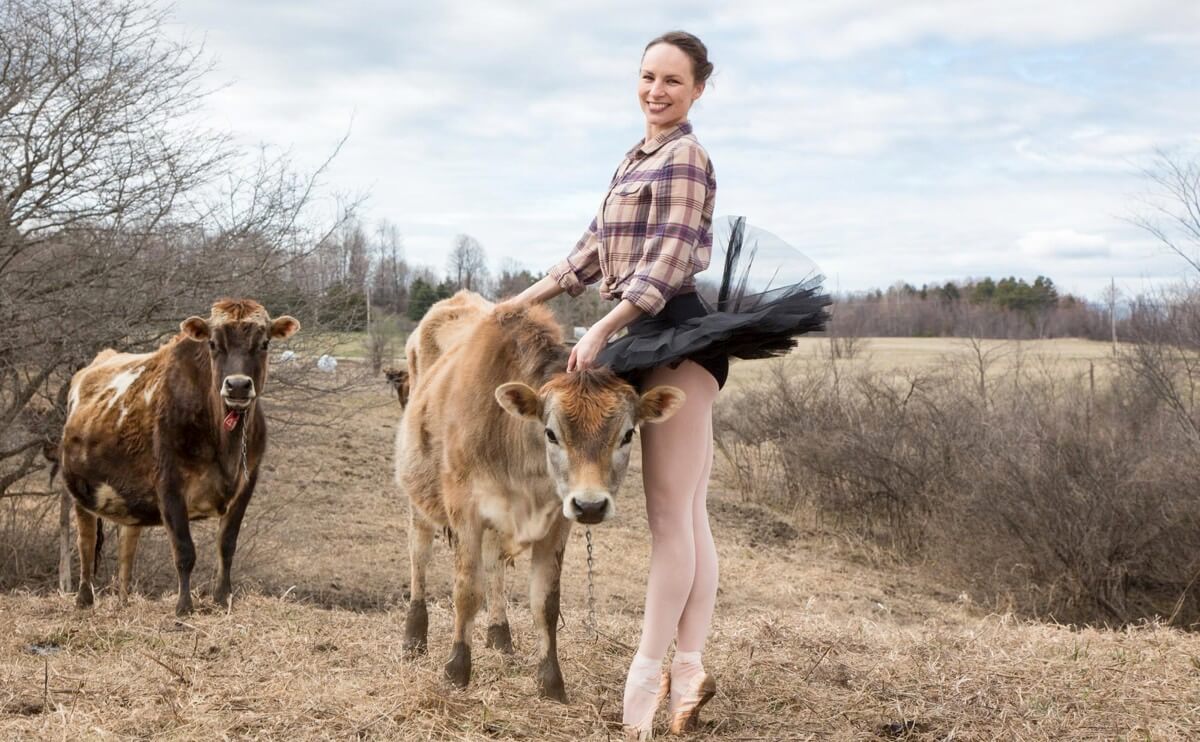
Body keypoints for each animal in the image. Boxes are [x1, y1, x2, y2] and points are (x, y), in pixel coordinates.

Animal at [59, 297, 298, 614]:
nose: (237, 385)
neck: (226, 444)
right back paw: (84, 599)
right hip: (80, 490)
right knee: (85, 542)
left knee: (126, 546)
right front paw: (184, 607)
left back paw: (124, 603)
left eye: (264, 343)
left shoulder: (247, 482)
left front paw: (222, 599)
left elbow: (227, 545)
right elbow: (185, 551)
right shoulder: (169, 484)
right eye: (213, 343)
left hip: (128, 499)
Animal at [398, 290, 686, 701]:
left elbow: (545, 603)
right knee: (419, 554)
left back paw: (500, 635)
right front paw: (456, 670)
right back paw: (414, 636)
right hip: (419, 490)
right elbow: (466, 591)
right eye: (551, 433)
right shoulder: (465, 509)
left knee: (495, 563)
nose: (590, 504)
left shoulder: (556, 523)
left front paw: (551, 682)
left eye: (628, 434)